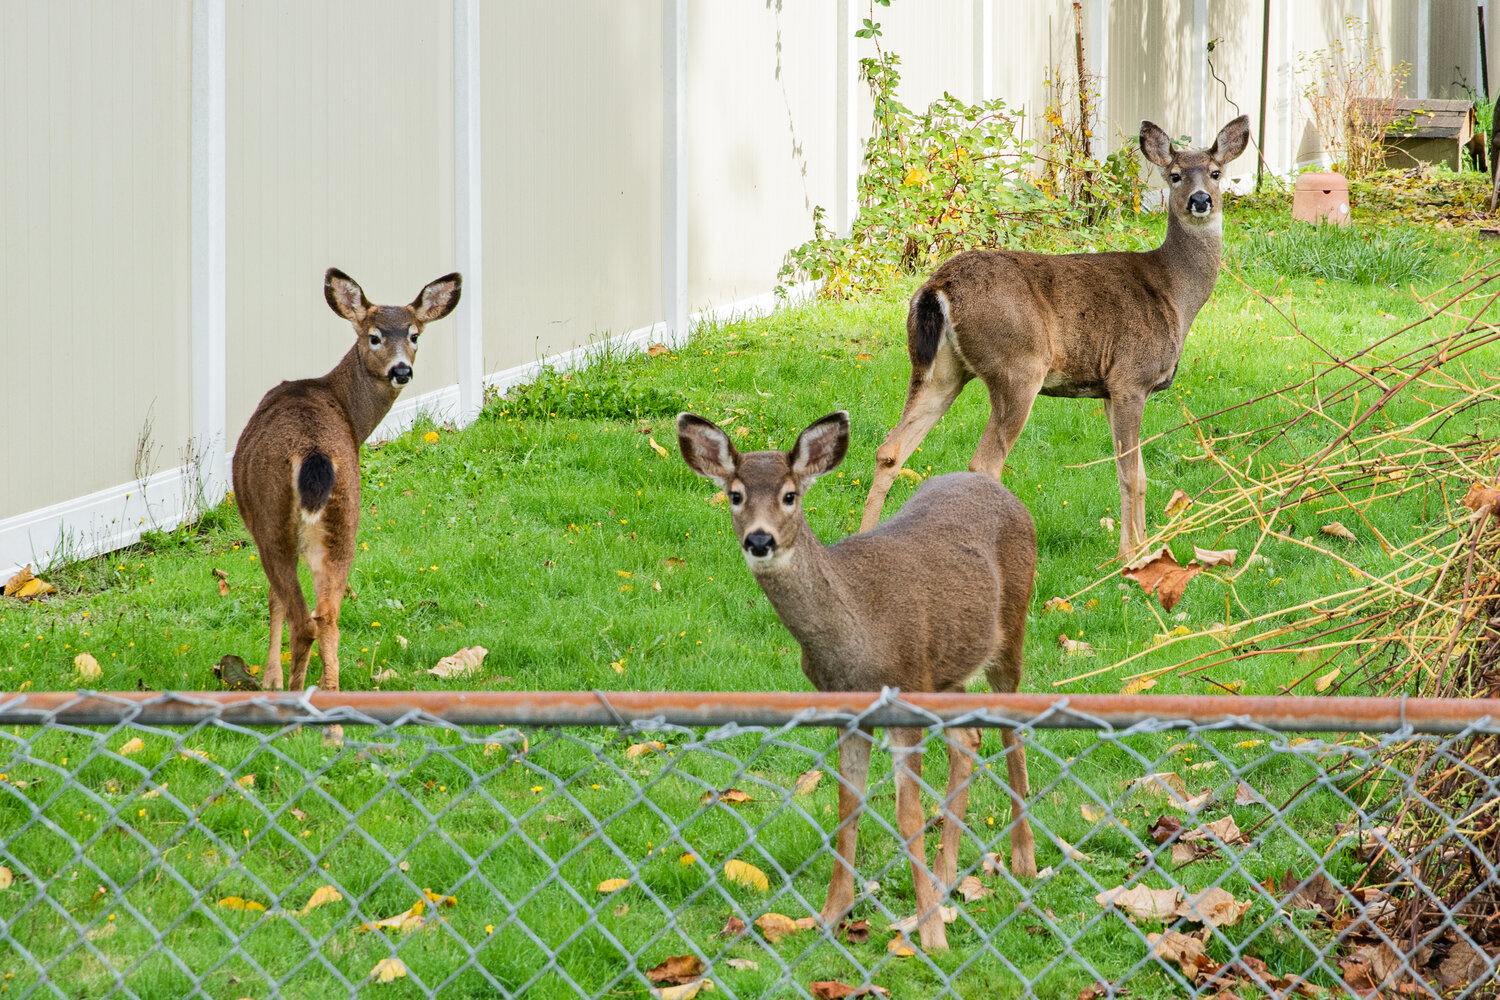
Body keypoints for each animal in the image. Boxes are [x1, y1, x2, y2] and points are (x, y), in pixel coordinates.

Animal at [232, 268, 461, 711]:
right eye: (375, 336)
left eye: (414, 335)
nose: (401, 371)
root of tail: (314, 455)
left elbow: (272, 600)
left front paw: (269, 678)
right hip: (345, 519)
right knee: (328, 616)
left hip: (273, 519)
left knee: (303, 619)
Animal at [677, 410, 1037, 953]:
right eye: (735, 495)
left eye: (790, 495)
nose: (759, 540)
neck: (856, 636)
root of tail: (1001, 489)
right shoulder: (848, 709)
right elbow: (848, 806)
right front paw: (829, 915)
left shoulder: (902, 696)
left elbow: (908, 817)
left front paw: (931, 936)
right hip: (944, 670)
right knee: (969, 737)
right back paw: (946, 875)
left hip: (1010, 629)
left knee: (1011, 732)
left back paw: (1023, 861)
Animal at [860, 116, 1251, 558]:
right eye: (1175, 175)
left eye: (1216, 173)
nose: (1201, 200)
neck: (1173, 293)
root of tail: (937, 286)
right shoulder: (1130, 378)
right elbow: (1130, 474)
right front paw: (1128, 556)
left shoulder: (1109, 390)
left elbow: (1140, 475)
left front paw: (1146, 550)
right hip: (1018, 366)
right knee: (983, 463)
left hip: (939, 369)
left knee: (890, 450)